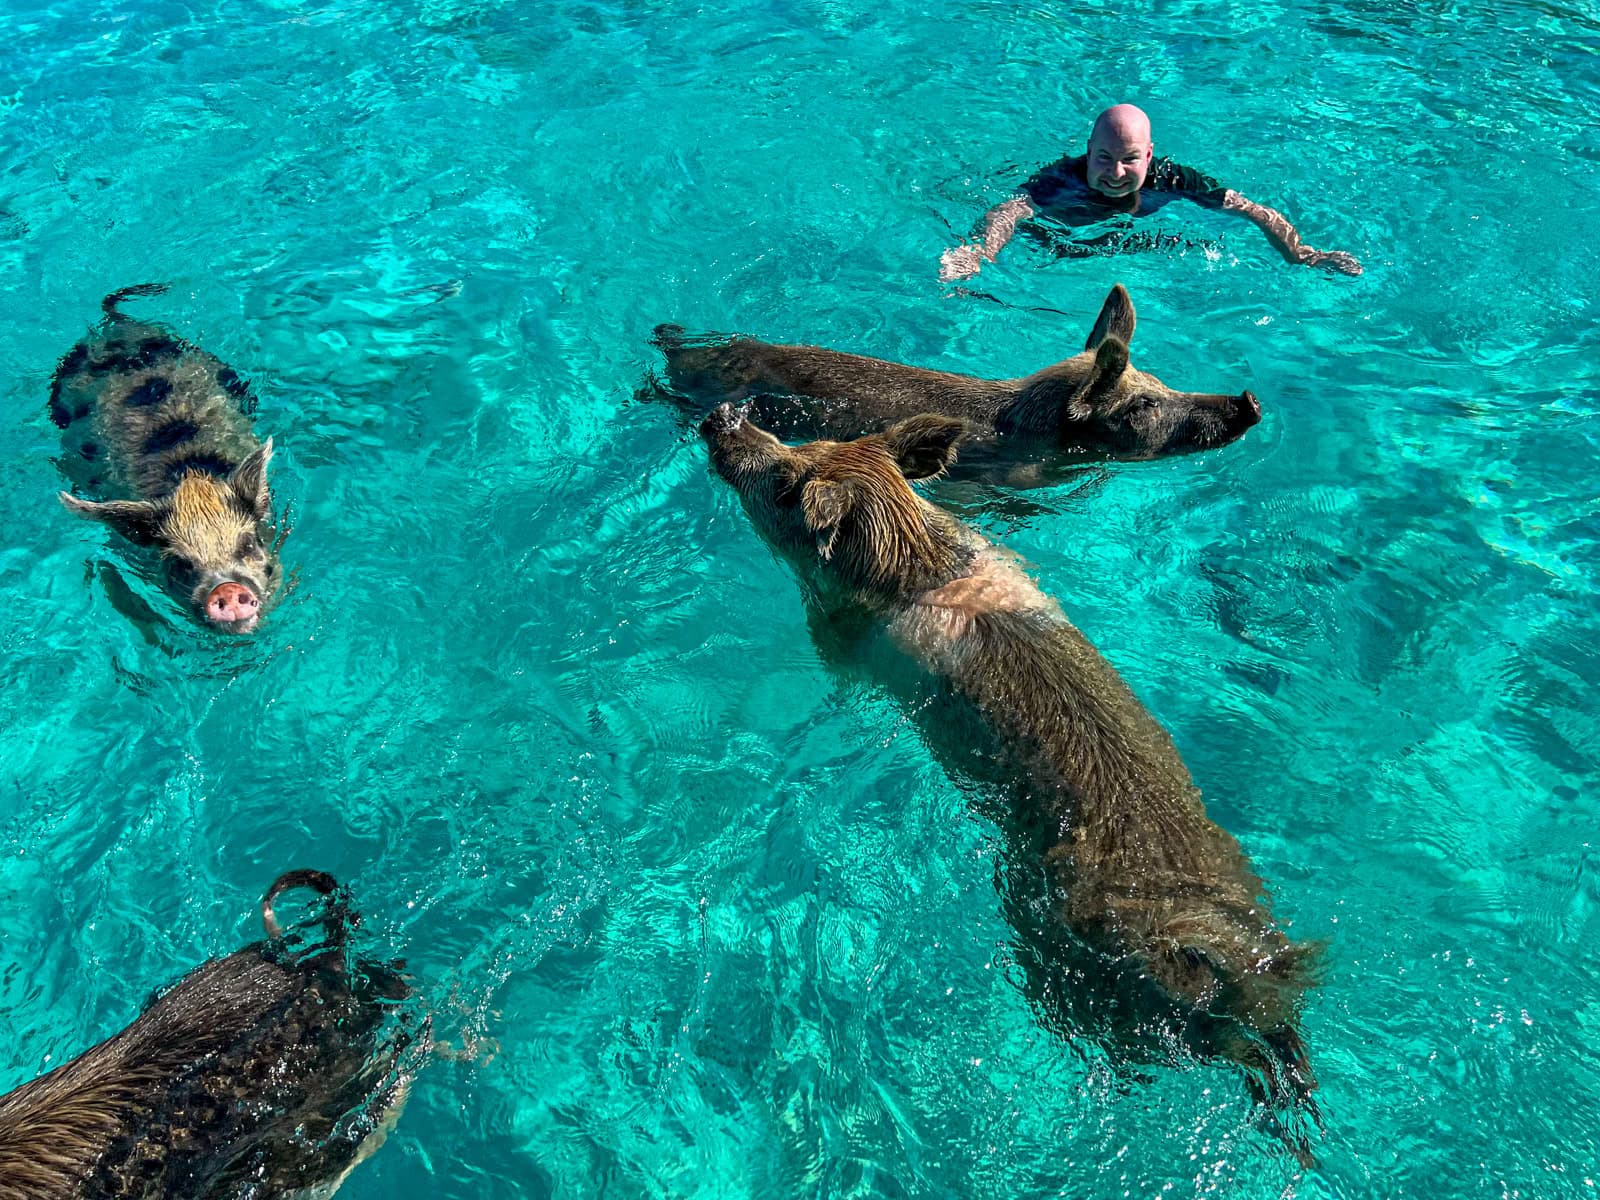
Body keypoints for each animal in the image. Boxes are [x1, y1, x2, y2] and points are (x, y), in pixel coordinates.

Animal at [704, 406, 1324, 1164]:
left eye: (786, 479)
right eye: (814, 444)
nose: (725, 418)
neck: (912, 562)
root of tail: (1217, 963)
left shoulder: (840, 645)